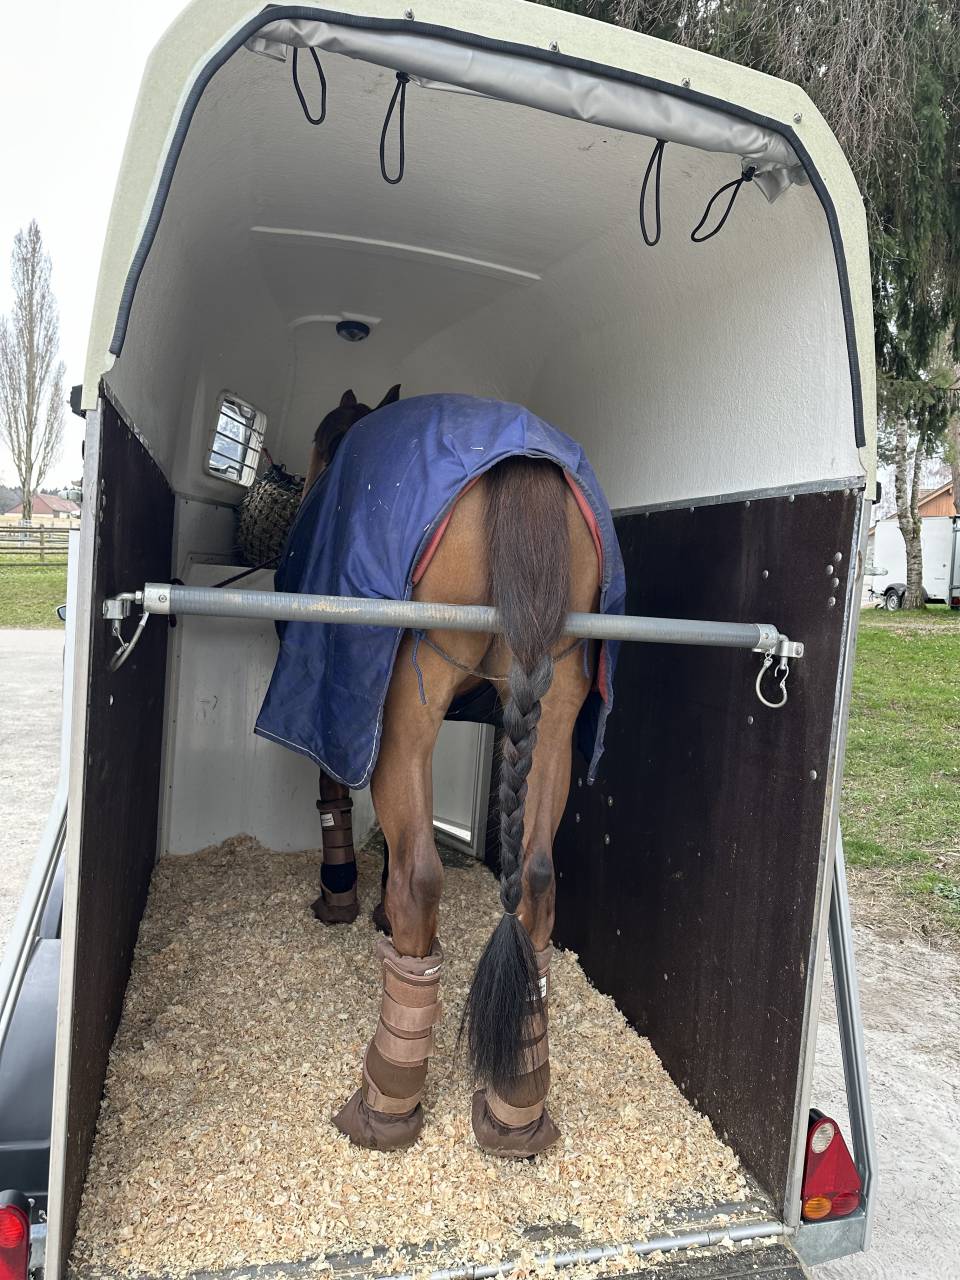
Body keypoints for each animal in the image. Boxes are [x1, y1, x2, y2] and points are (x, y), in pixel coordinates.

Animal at [259, 387, 623, 1157]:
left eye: (321, 443)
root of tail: (523, 464)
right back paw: (517, 1110)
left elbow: (342, 796)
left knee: (423, 876)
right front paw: (372, 909)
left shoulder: (355, 714)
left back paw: (385, 1103)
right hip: (555, 707)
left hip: (410, 702)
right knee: (537, 878)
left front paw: (343, 898)